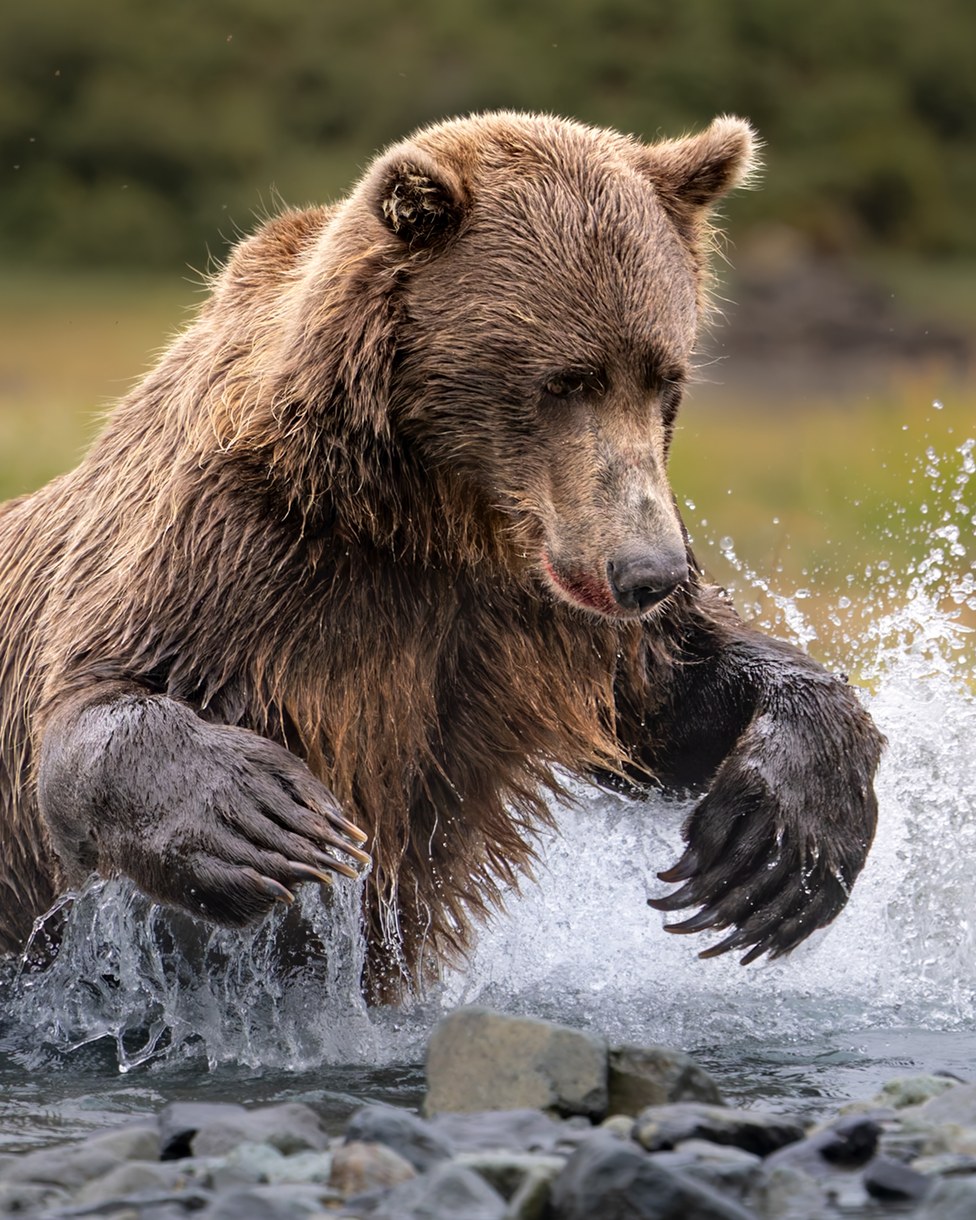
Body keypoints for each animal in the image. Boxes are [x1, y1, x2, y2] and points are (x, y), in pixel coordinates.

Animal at [0, 112, 883, 999]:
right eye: (567, 380)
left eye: (665, 375)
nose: (649, 571)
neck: (427, 516)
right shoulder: (236, 542)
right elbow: (103, 691)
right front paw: (264, 818)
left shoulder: (535, 614)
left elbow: (671, 695)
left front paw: (777, 848)